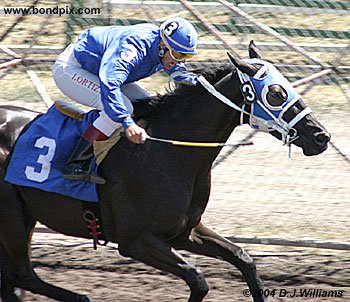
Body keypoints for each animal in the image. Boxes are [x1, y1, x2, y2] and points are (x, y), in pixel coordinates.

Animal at [0, 43, 330, 302]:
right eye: (275, 94)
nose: (321, 136)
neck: (169, 150)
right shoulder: (136, 241)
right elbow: (198, 279)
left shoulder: (185, 232)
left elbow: (244, 259)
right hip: (12, 218)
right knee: (23, 275)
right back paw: (82, 297)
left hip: (24, 217)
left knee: (15, 279)